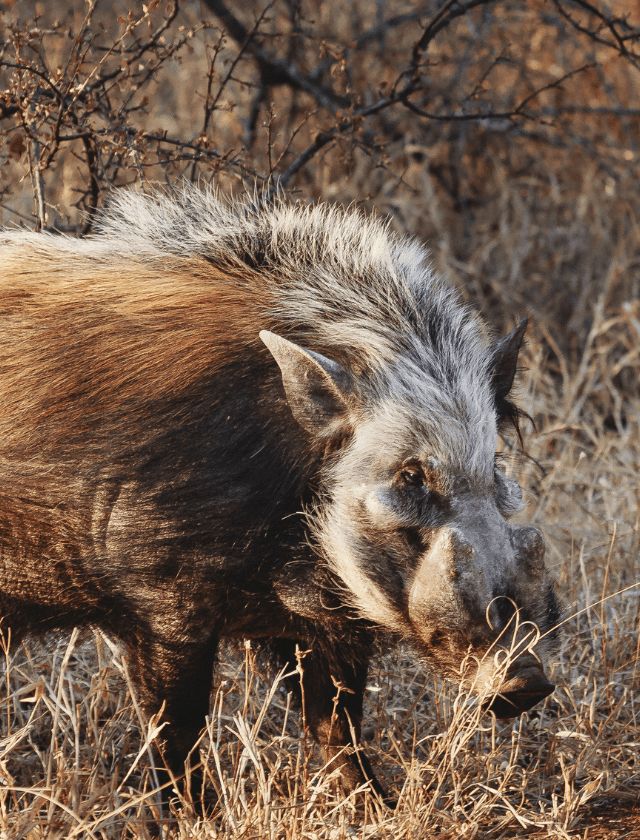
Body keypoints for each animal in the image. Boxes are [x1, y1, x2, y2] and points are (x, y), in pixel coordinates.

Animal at [0, 185, 559, 804]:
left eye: (496, 465)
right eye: (411, 476)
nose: (528, 680)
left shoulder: (324, 630)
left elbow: (337, 725)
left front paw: (377, 806)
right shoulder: (162, 604)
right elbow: (177, 733)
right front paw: (199, 815)